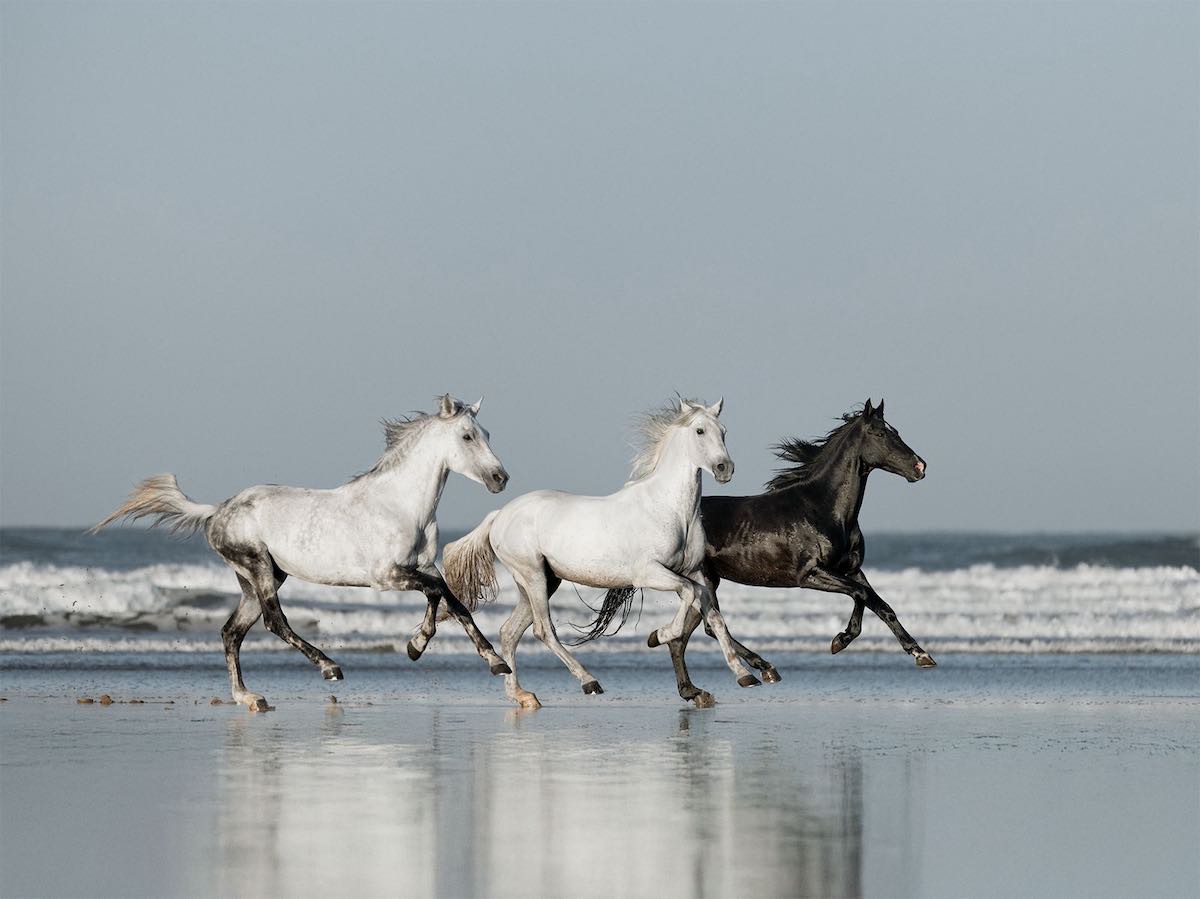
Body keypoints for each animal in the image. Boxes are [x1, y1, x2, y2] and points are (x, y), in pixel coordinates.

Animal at [93, 394, 513, 711]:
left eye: (488, 433)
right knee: (273, 622)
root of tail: (217, 510)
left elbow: (454, 602)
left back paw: (248, 697)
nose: (500, 479)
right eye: (467, 436)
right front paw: (416, 646)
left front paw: (494, 662)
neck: (400, 505)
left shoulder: (423, 565)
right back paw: (330, 667)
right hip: (259, 568)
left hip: (259, 578)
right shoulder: (386, 577)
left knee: (232, 632)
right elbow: (437, 593)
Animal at [443, 397, 762, 709]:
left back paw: (522, 696)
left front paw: (745, 675)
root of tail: (499, 515)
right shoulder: (649, 573)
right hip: (532, 575)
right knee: (543, 631)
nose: (724, 468)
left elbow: (713, 613)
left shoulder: (692, 570)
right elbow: (689, 593)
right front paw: (657, 636)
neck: (670, 509)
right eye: (699, 431)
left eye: (723, 431)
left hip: (543, 581)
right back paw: (589, 682)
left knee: (510, 632)